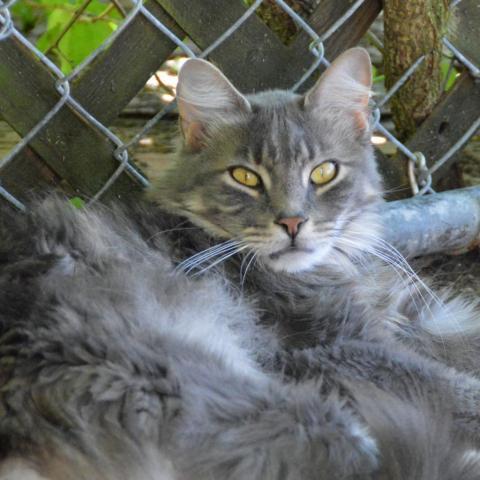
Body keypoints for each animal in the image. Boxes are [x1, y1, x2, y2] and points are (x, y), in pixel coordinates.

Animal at [0, 46, 480, 480]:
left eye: (323, 172)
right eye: (245, 177)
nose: (292, 222)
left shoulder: (408, 319)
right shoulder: (334, 348)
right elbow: (448, 385)